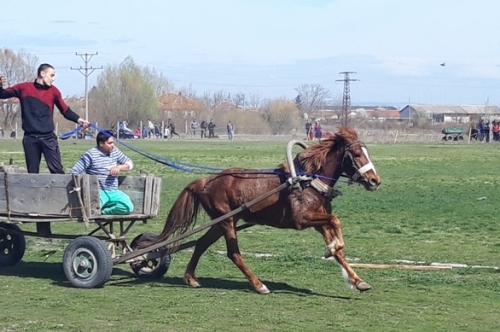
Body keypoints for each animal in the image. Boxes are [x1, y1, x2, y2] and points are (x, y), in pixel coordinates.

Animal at [142, 126, 382, 294]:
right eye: (357, 154)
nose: (374, 180)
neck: (308, 180)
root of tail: (207, 181)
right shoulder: (303, 219)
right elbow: (336, 221)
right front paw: (332, 249)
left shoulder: (319, 223)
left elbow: (338, 244)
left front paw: (357, 279)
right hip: (227, 222)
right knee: (233, 253)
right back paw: (258, 285)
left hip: (221, 222)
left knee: (201, 244)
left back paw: (191, 278)